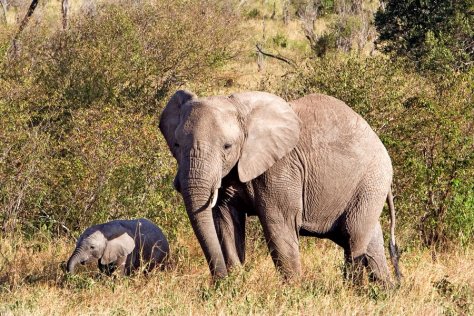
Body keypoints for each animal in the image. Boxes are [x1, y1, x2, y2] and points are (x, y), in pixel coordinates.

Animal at [158, 89, 400, 284]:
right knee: (371, 244)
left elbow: (278, 225)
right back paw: (386, 292)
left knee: (353, 238)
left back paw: (351, 291)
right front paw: (235, 287)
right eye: (176, 145)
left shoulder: (281, 168)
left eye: (227, 146)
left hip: (370, 182)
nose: (219, 282)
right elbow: (225, 222)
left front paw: (293, 292)